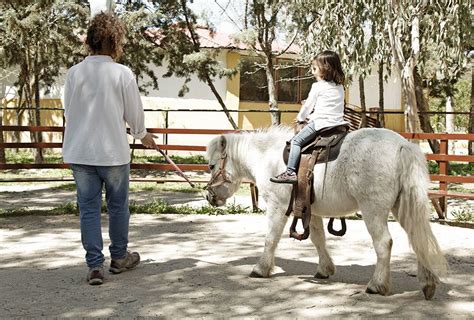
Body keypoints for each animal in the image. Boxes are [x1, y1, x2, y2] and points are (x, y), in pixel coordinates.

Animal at [206, 125, 446, 300]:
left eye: (211, 166)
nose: (209, 197)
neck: (267, 157)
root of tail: (403, 146)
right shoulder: (309, 210)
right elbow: (318, 239)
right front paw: (325, 269)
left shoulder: (277, 207)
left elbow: (270, 239)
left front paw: (260, 269)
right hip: (403, 207)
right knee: (418, 239)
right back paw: (427, 283)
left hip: (373, 210)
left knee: (384, 243)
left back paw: (377, 285)